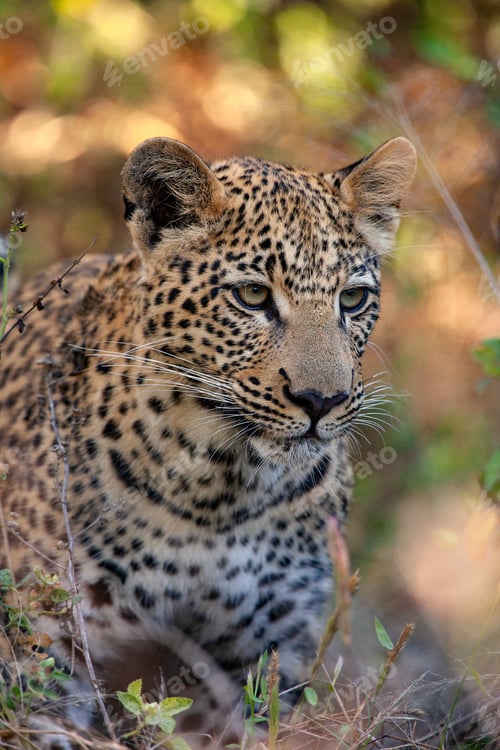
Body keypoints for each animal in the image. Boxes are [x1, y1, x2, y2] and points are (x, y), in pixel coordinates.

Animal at [0, 135, 416, 746]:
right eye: (252, 296)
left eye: (353, 300)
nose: (321, 401)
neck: (222, 491)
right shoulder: (49, 635)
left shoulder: (266, 650)